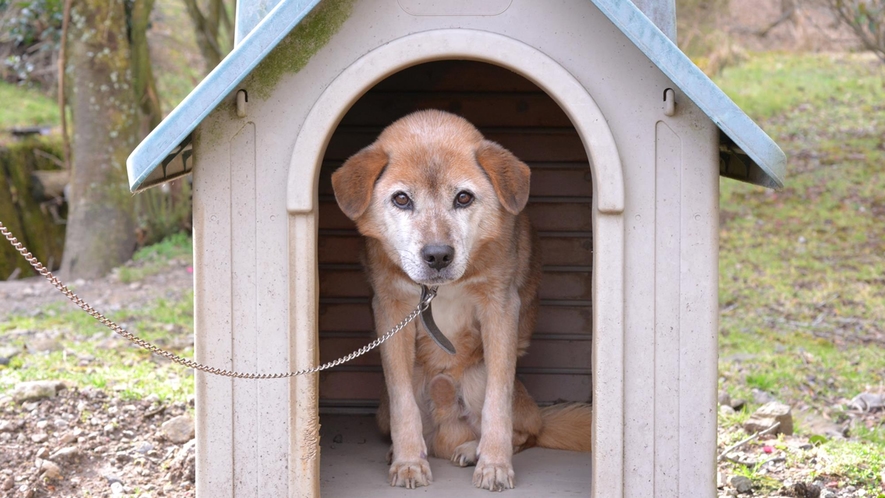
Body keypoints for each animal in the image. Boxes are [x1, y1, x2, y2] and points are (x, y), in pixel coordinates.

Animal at [328, 110, 592, 490]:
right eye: (401, 199)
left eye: (464, 198)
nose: (438, 255)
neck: (440, 289)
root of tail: (445, 435)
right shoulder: (391, 311)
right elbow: (402, 401)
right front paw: (408, 461)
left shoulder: (500, 308)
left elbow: (499, 402)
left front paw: (494, 463)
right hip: (383, 410)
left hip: (479, 378)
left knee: (527, 430)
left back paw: (472, 449)